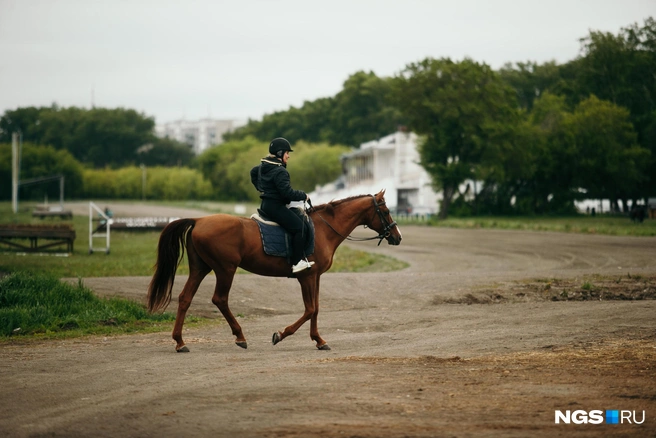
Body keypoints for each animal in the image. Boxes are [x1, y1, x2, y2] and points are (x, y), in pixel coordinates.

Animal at [147, 191, 402, 352]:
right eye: (386, 211)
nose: (397, 237)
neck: (323, 229)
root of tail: (199, 220)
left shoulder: (316, 277)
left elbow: (316, 308)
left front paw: (319, 340)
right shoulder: (306, 277)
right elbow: (310, 309)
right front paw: (280, 335)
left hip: (201, 268)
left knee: (185, 298)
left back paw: (180, 342)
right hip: (225, 269)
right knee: (219, 299)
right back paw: (239, 336)